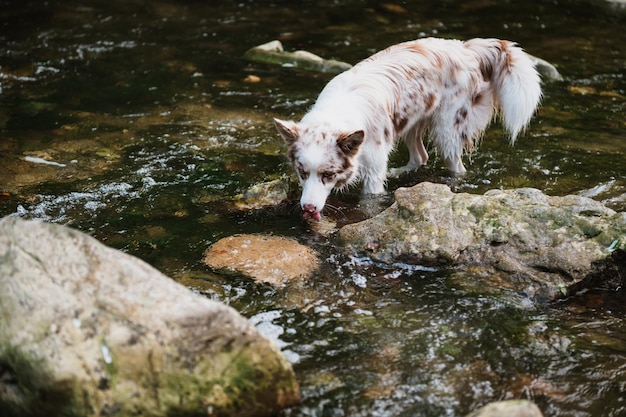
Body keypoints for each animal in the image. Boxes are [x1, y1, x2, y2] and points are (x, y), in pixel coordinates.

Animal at [274, 37, 540, 221]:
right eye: (302, 172)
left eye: (328, 175)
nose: (308, 208)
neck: (337, 112)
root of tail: (466, 48)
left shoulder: (373, 168)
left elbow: (369, 198)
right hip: (413, 119)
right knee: (420, 156)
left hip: (447, 130)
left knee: (456, 166)